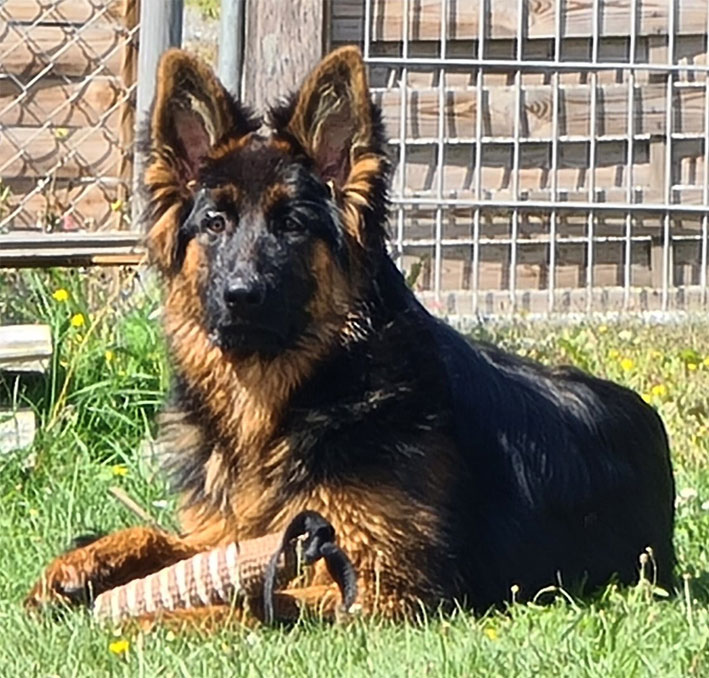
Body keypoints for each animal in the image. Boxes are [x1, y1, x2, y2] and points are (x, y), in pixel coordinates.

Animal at [25, 46, 675, 624]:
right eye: (214, 223)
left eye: (292, 224)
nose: (240, 295)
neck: (281, 406)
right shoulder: (235, 533)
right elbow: (166, 539)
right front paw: (82, 562)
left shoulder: (389, 586)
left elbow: (248, 600)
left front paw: (148, 614)